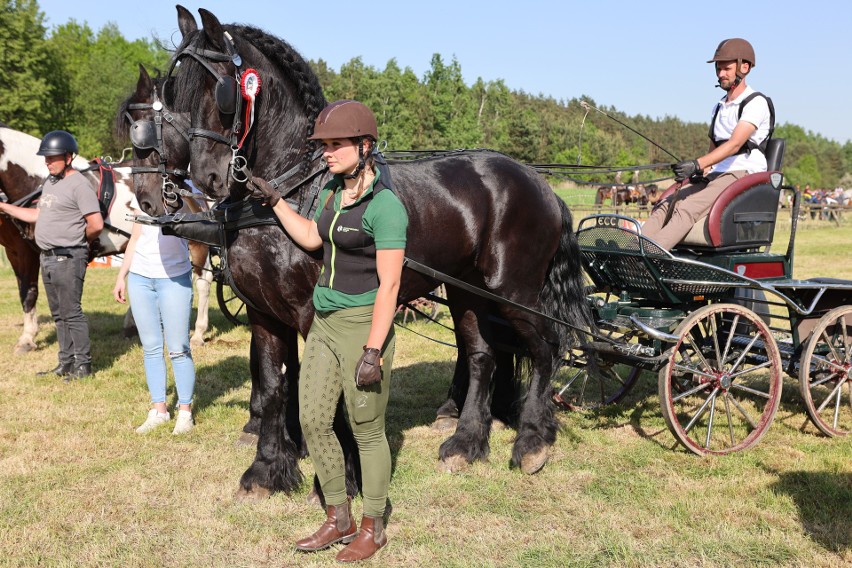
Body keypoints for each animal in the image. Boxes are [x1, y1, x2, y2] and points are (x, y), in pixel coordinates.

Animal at [158, 4, 584, 488]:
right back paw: (466, 443)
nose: (207, 179)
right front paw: (267, 470)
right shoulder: (263, 313)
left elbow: (326, 393)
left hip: (514, 292)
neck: (290, 191)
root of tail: (540, 183)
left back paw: (532, 441)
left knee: (545, 349)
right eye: (174, 90)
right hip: (467, 292)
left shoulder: (313, 314)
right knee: (482, 357)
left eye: (222, 90)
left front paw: (342, 476)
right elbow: (272, 387)